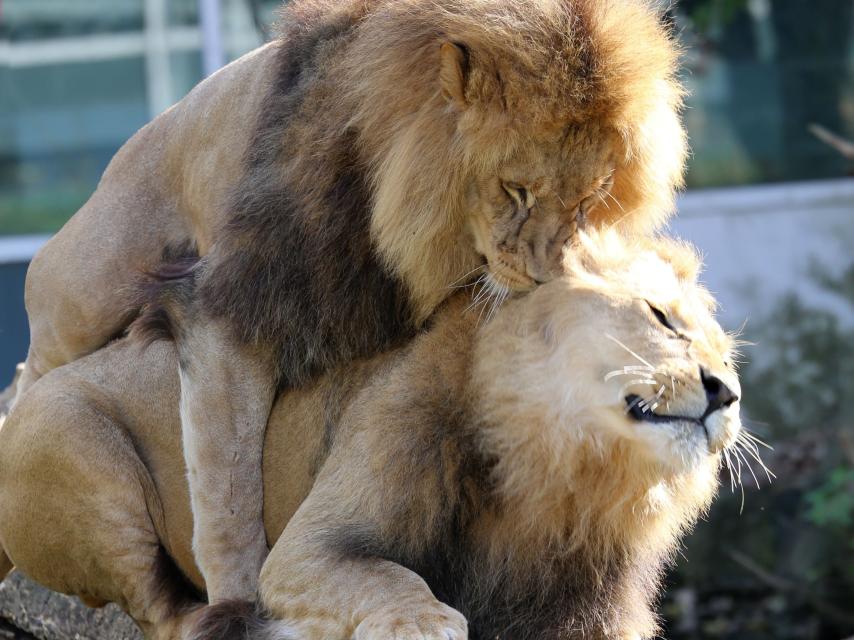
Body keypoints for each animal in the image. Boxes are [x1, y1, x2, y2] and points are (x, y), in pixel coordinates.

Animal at [0, 231, 741, 640]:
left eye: (728, 355)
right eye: (663, 320)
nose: (726, 393)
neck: (561, 472)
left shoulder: (590, 603)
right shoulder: (311, 548)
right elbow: (385, 575)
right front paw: (427, 621)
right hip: (75, 443)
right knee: (161, 613)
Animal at [16, 0, 686, 602]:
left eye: (591, 197)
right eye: (515, 188)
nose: (550, 276)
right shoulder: (231, 309)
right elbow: (227, 492)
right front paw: (239, 601)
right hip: (88, 291)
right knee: (31, 369)